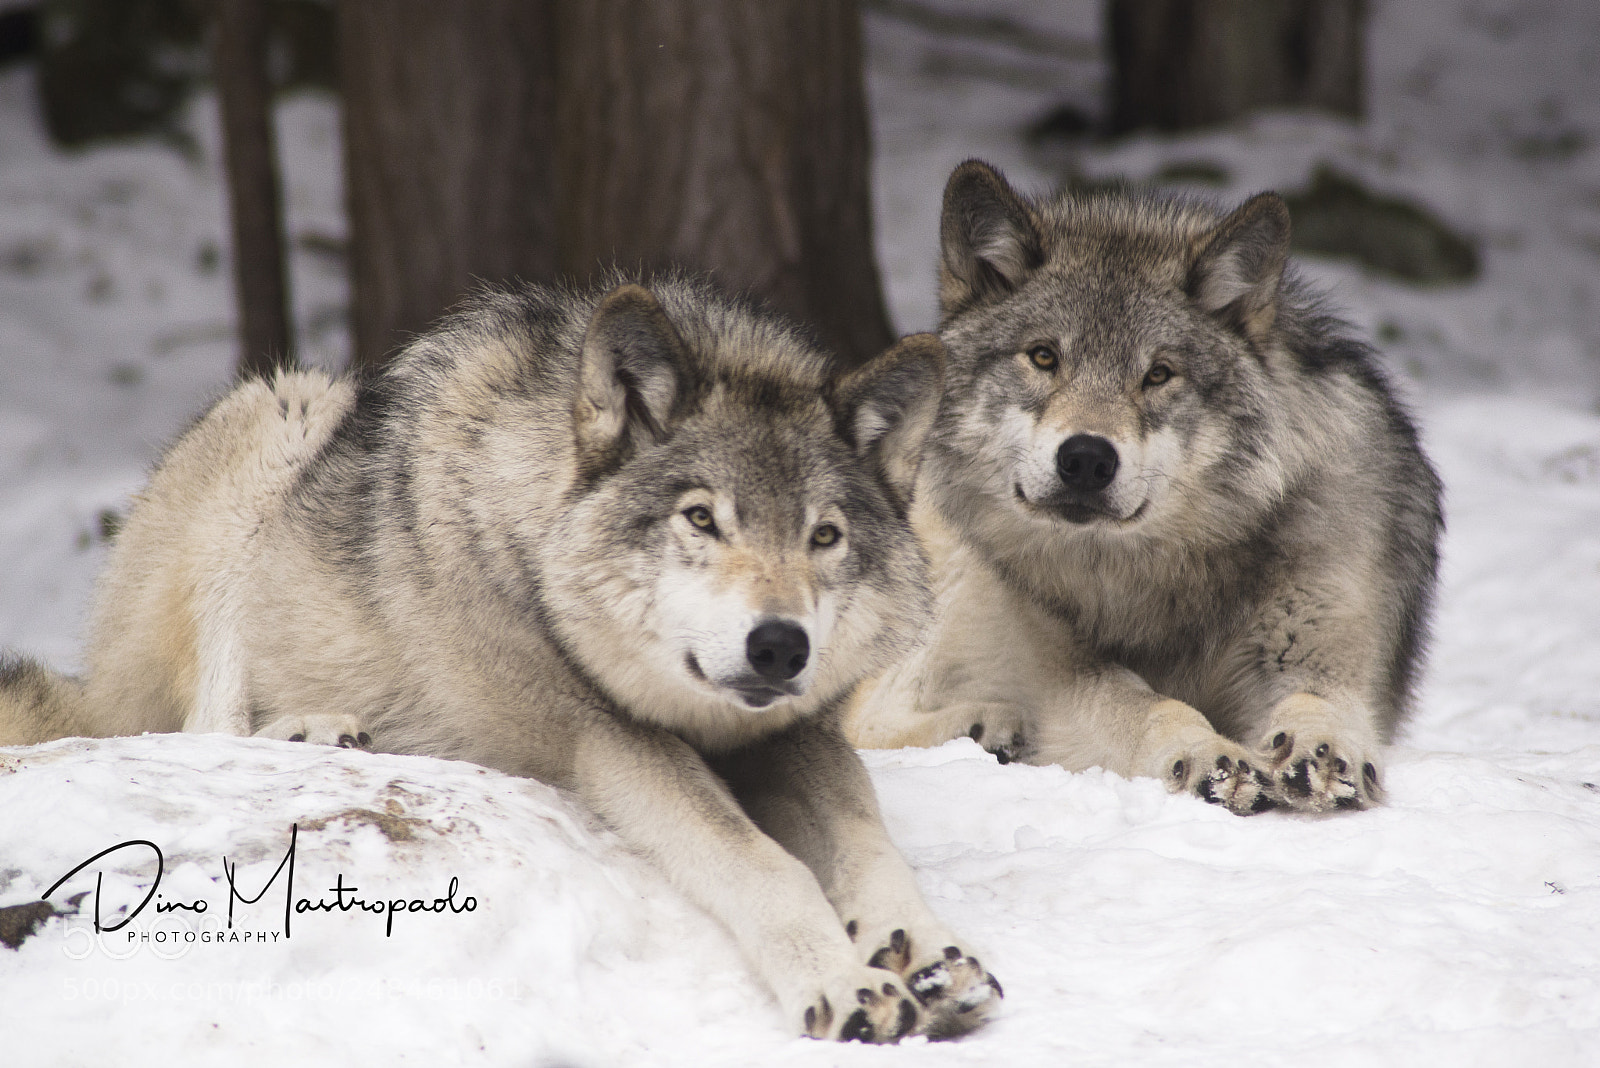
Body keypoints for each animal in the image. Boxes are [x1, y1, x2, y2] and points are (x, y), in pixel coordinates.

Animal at [0, 276, 1000, 1041]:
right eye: (702, 519)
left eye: (824, 536)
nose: (781, 645)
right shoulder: (611, 739)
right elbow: (764, 865)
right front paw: (846, 983)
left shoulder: (793, 733)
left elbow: (869, 839)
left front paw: (929, 952)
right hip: (288, 404)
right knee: (202, 722)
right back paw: (314, 729)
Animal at [845, 161, 1443, 815]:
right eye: (1044, 357)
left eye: (1158, 374)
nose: (1085, 458)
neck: (1160, 575)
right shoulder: (1062, 673)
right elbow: (1150, 706)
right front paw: (1208, 756)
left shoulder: (1319, 633)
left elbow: (1319, 698)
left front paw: (1323, 747)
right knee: (861, 720)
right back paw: (989, 726)